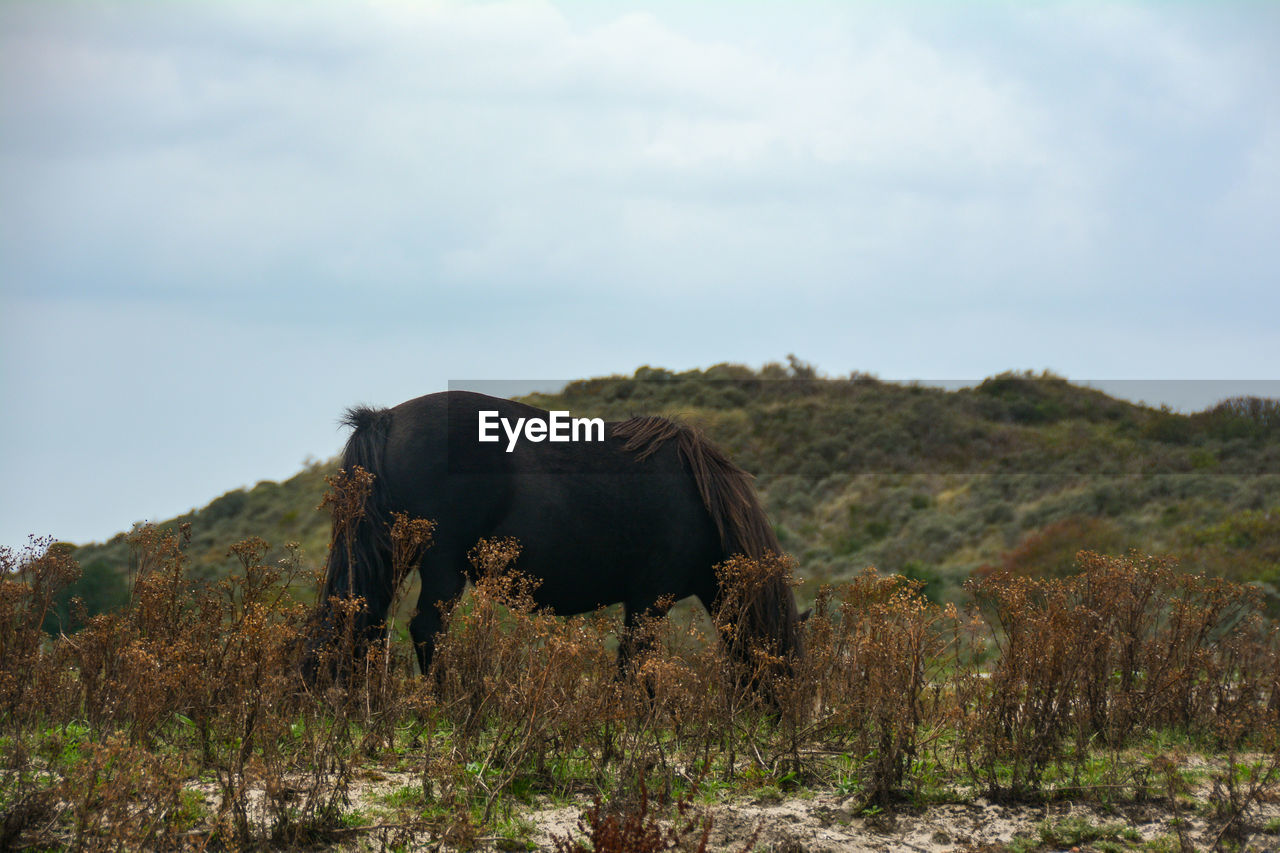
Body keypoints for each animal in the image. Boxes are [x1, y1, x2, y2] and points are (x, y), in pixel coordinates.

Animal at [303, 389, 793, 676]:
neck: (700, 499)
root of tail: (384, 419)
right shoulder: (651, 599)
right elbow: (635, 660)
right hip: (441, 564)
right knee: (426, 629)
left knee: (361, 621)